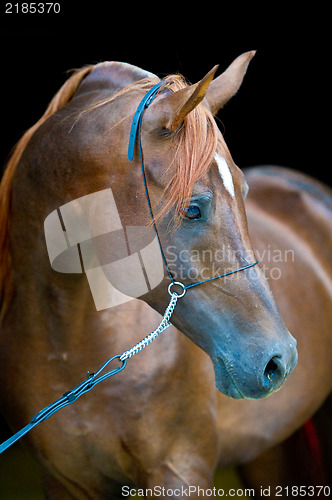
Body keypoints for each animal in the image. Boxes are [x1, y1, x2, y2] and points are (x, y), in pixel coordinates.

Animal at [0, 52, 330, 498]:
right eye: (192, 208)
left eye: (244, 193)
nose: (280, 359)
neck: (69, 346)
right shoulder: (66, 481)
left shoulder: (179, 471)